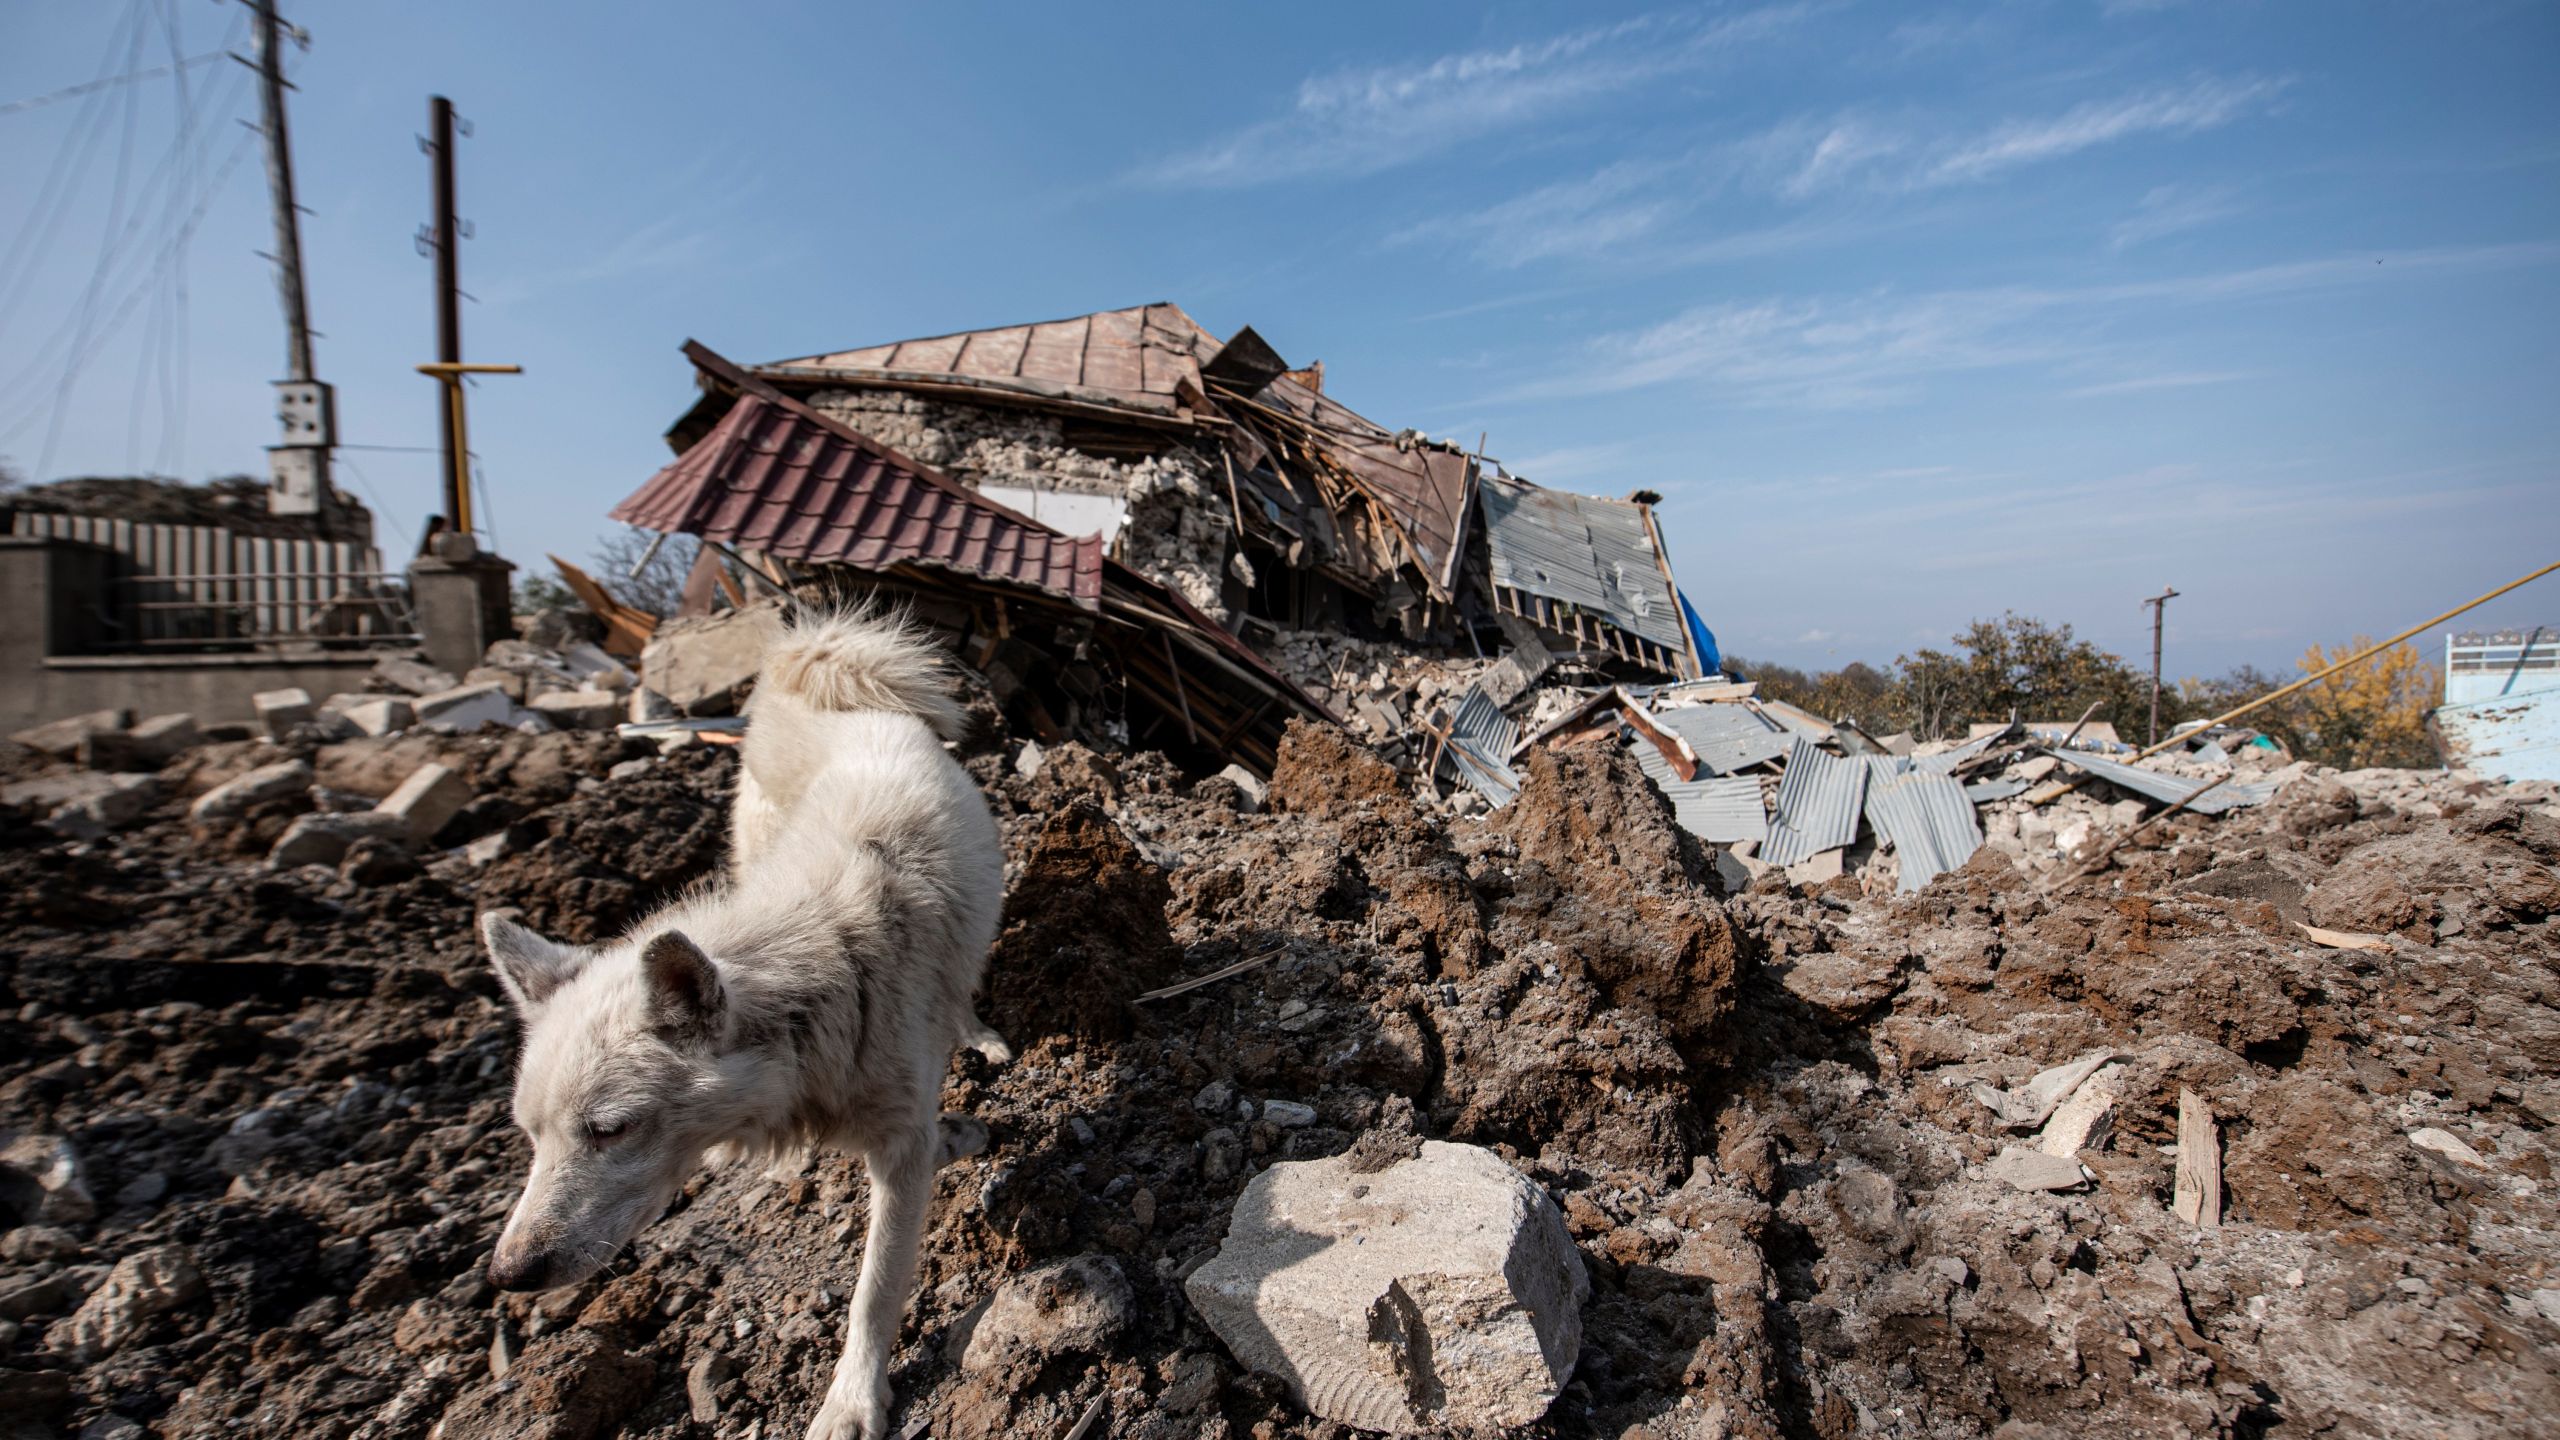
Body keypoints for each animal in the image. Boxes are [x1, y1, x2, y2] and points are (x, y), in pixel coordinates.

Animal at [483, 607, 1003, 1434]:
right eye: (530, 1136)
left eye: (610, 1130)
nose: (508, 1273)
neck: (820, 987)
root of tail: (824, 691)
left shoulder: (898, 1148)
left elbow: (874, 1291)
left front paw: (851, 1399)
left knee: (964, 986)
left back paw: (976, 1031)